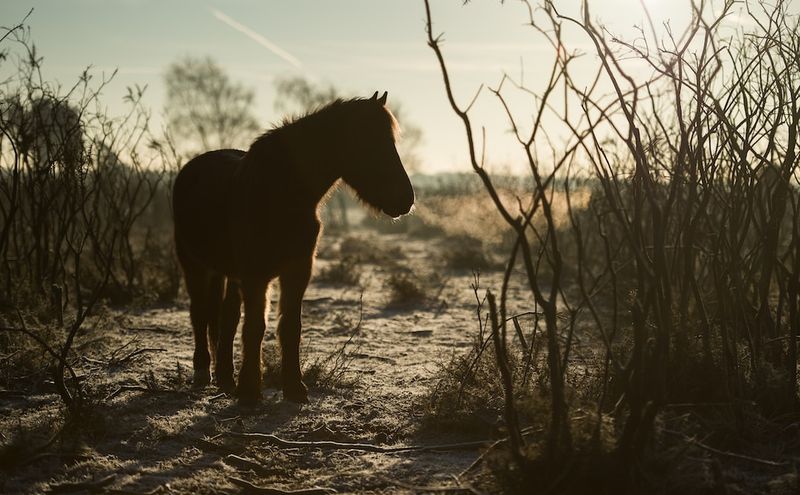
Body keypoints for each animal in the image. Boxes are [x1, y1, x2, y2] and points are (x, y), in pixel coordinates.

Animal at [173, 91, 416, 404]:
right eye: (368, 141)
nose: (406, 199)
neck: (281, 192)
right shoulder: (256, 274)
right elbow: (255, 327)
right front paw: (250, 392)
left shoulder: (298, 269)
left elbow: (289, 327)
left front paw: (293, 388)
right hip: (194, 266)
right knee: (199, 314)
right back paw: (203, 372)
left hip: (227, 273)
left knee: (226, 317)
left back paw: (226, 378)